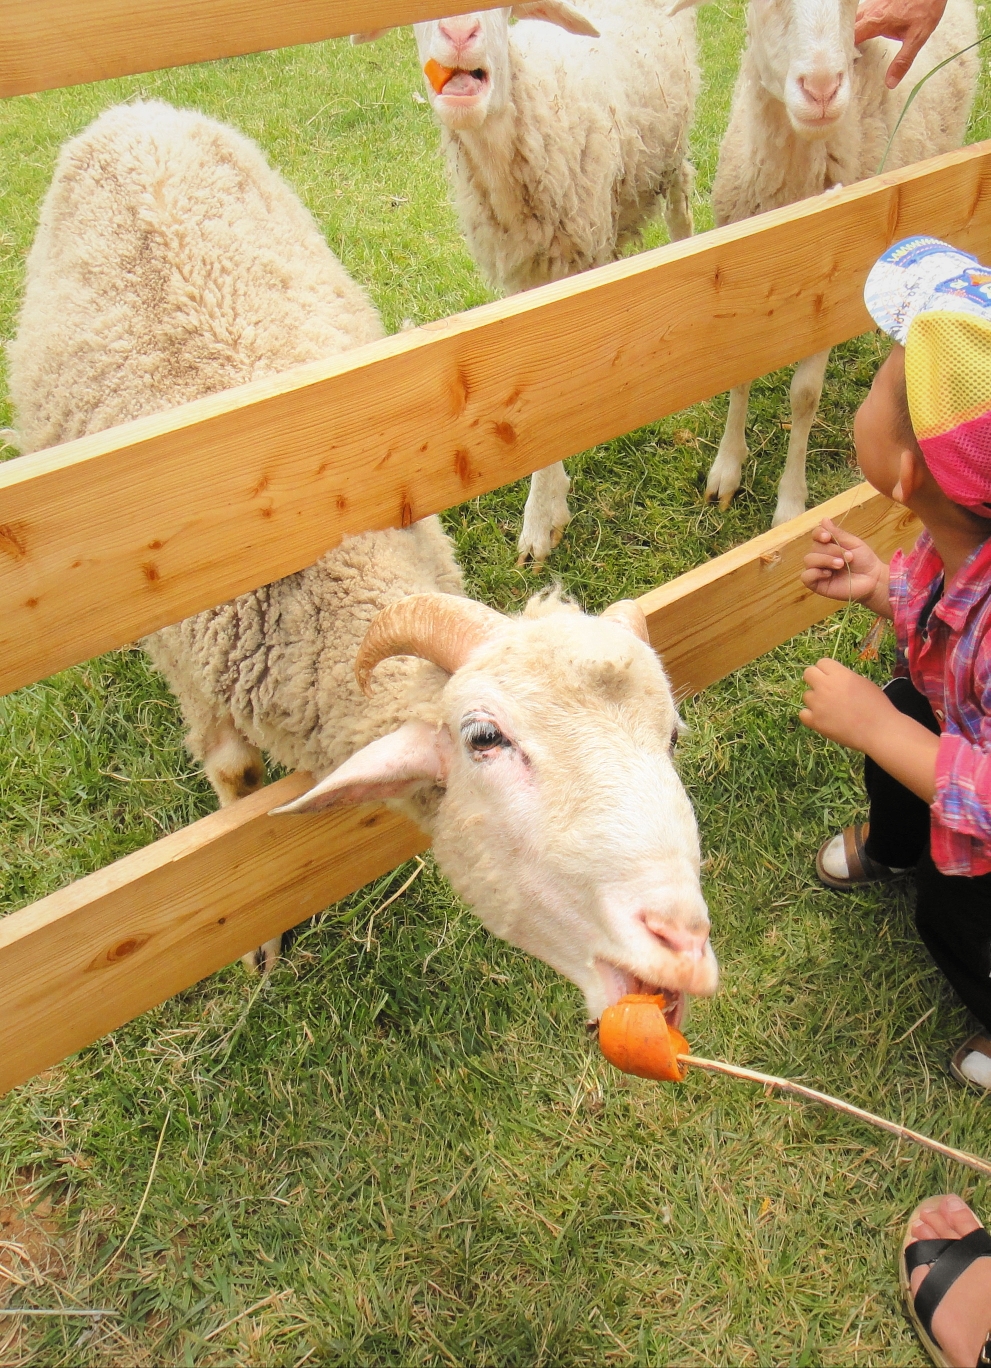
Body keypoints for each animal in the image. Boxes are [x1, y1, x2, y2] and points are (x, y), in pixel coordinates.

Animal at [9, 101, 722, 1028]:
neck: (309, 567)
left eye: (669, 735)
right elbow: (234, 782)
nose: (681, 943)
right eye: (484, 738)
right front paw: (259, 938)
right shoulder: (192, 669)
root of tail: (135, 111)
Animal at [353, 0, 698, 560]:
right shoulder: (522, 278)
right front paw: (546, 510)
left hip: (671, 148)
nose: (459, 31)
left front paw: (542, 514)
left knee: (681, 205)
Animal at [676, 0, 980, 525]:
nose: (821, 88)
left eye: (850, 6)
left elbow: (804, 396)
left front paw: (790, 505)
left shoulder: (829, 292)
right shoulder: (739, 279)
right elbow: (739, 374)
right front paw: (727, 470)